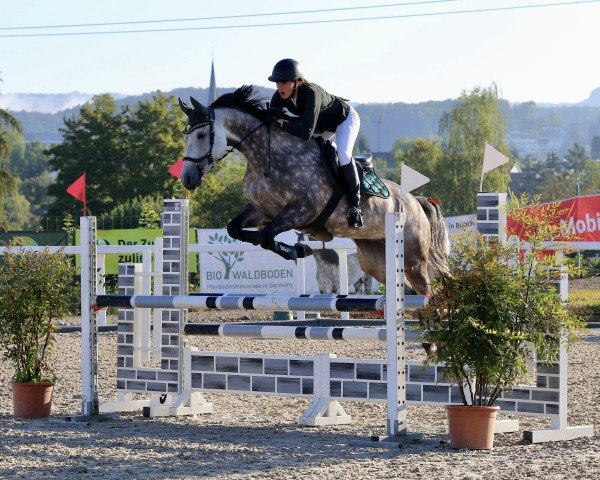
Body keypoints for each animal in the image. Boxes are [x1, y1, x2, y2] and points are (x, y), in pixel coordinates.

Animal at [178, 86, 450, 296]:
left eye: (201, 134)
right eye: (186, 136)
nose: (187, 179)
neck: (266, 157)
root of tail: (414, 201)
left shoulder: (301, 212)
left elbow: (265, 236)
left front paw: (297, 249)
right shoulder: (262, 210)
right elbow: (236, 229)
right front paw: (298, 249)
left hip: (413, 258)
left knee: (427, 293)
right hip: (376, 260)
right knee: (408, 292)